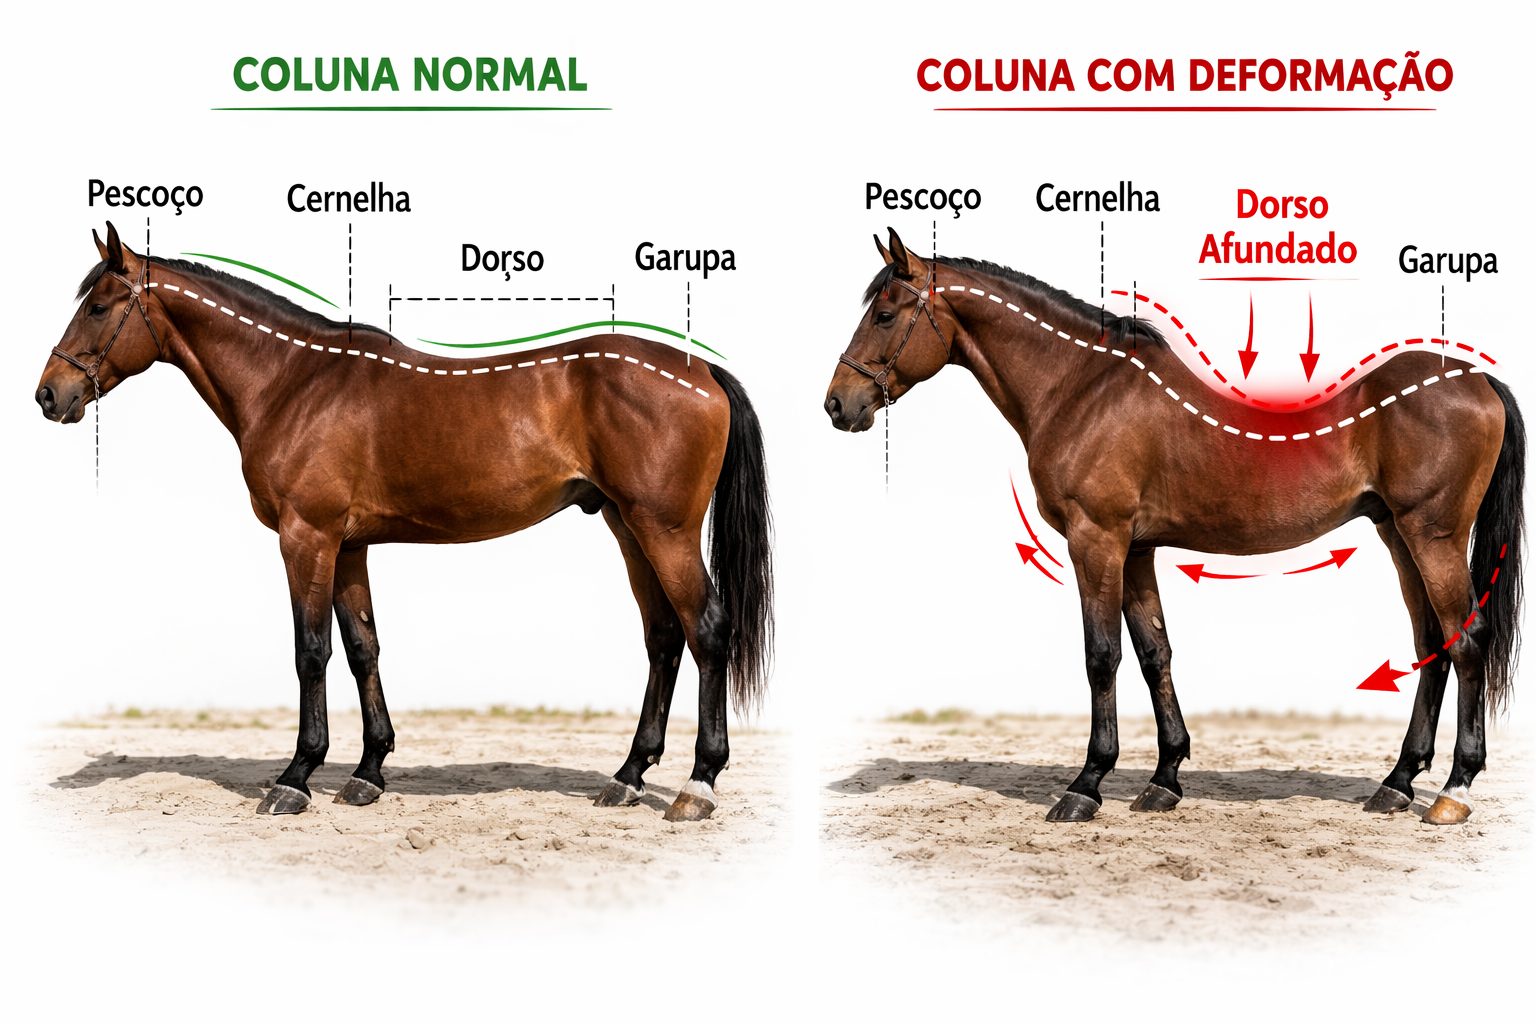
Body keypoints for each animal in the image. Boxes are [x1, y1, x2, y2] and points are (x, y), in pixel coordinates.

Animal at [36, 222, 773, 822]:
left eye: (98, 307)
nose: (49, 395)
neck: (293, 381)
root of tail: (703, 371)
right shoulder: (349, 545)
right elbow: (363, 647)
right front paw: (367, 773)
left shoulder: (308, 539)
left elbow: (311, 652)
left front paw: (295, 779)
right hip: (626, 526)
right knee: (663, 638)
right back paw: (626, 777)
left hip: (663, 530)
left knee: (706, 629)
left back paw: (697, 786)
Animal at [824, 228, 1523, 825]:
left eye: (884, 313)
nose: (837, 404)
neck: (1081, 388)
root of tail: (1479, 380)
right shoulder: (1136, 550)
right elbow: (1153, 652)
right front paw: (1164, 780)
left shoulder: (1097, 541)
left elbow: (1101, 656)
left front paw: (1085, 786)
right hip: (1397, 535)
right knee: (1431, 644)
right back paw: (1396, 783)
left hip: (1431, 537)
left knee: (1466, 642)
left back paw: (1454, 790)